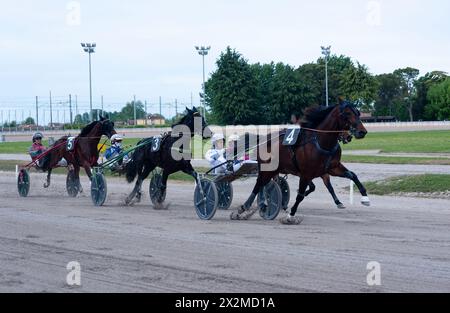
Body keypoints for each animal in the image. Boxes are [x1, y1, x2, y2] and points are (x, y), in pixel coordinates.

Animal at [232, 98, 370, 223]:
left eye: (358, 112)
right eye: (347, 113)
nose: (362, 131)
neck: (321, 143)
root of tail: (265, 139)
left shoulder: (332, 168)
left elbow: (352, 175)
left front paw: (365, 198)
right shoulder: (306, 173)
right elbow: (300, 196)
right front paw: (290, 215)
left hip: (274, 170)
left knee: (264, 185)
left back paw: (262, 205)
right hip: (267, 169)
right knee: (258, 184)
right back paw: (243, 209)